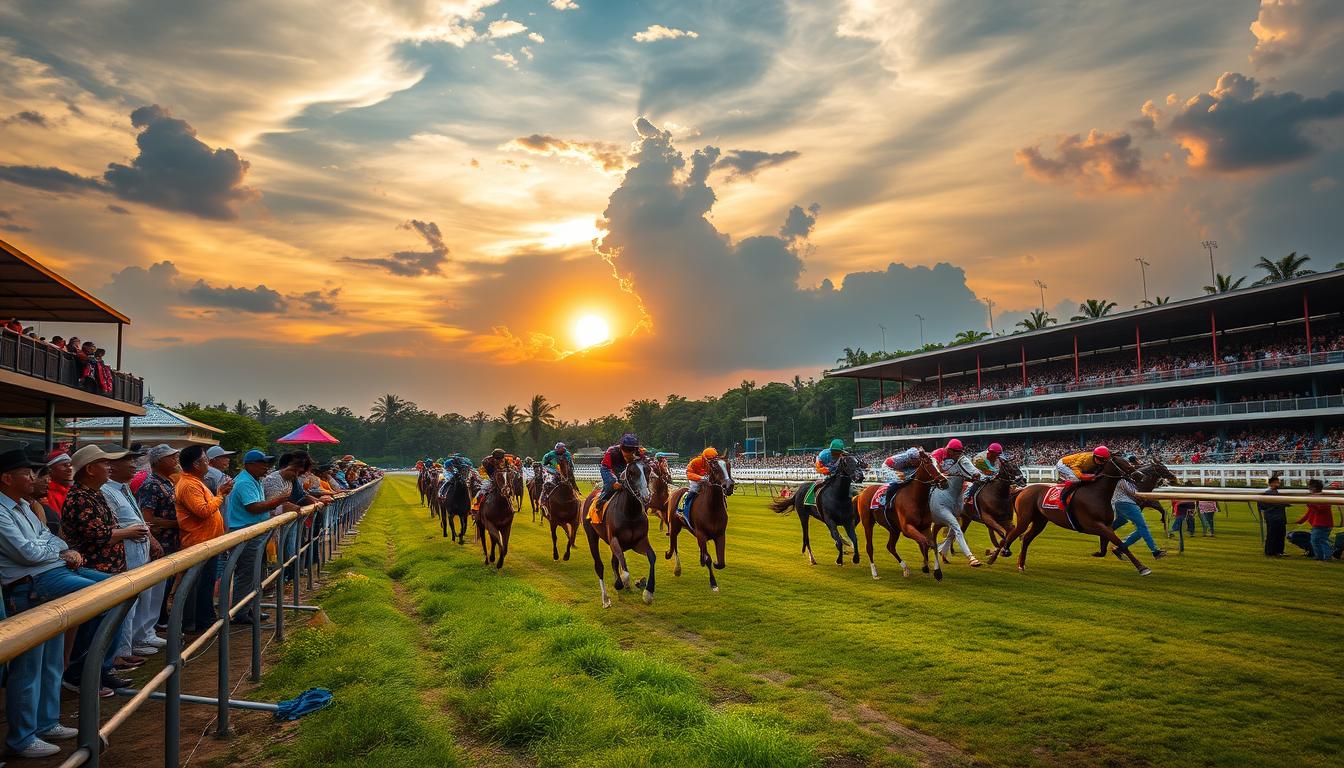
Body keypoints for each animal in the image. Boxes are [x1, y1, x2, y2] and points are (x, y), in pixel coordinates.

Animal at [583, 459, 655, 610]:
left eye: (647, 470)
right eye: (632, 473)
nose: (646, 496)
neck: (630, 512)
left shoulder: (639, 541)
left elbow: (652, 557)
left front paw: (648, 593)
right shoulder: (614, 540)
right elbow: (626, 573)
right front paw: (621, 582)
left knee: (614, 561)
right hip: (591, 535)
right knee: (599, 565)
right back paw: (605, 599)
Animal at [663, 457, 736, 594]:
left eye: (729, 465)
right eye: (715, 468)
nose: (729, 486)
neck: (712, 508)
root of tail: (676, 490)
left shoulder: (720, 534)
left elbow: (721, 562)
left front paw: (715, 562)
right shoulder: (701, 534)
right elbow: (708, 559)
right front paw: (713, 584)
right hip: (674, 527)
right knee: (674, 544)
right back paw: (676, 567)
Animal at [854, 446, 951, 581]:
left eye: (938, 464)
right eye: (928, 463)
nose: (944, 481)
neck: (916, 498)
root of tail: (861, 493)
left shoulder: (925, 527)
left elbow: (932, 544)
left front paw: (936, 571)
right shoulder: (907, 528)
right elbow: (924, 542)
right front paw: (926, 567)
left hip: (893, 528)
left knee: (890, 546)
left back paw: (905, 568)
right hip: (868, 522)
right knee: (869, 547)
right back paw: (875, 573)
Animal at [983, 454, 1150, 572]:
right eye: (1124, 464)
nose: (1141, 476)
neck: (1097, 493)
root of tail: (1023, 490)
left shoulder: (1106, 525)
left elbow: (1105, 548)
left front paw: (1097, 553)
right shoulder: (1095, 525)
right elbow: (1120, 543)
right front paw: (1142, 568)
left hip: (1040, 521)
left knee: (1026, 539)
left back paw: (1020, 564)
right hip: (1025, 518)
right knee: (1011, 535)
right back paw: (998, 554)